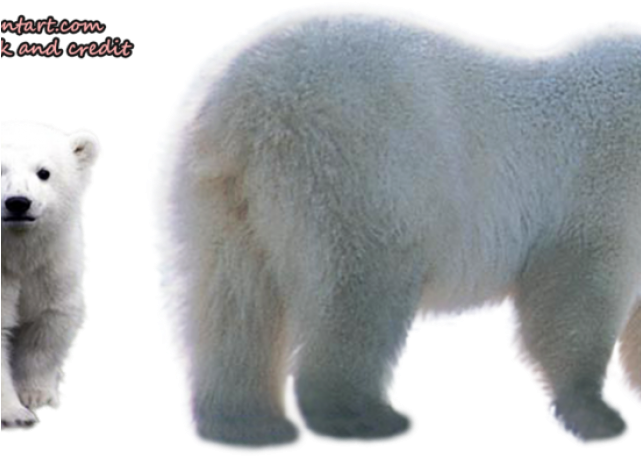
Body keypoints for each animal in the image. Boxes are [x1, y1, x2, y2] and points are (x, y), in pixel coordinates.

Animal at [1, 119, 102, 431]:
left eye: (44, 172)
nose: (18, 203)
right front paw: (15, 414)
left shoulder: (51, 265)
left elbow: (47, 321)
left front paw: (37, 395)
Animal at [148, 4, 641, 452]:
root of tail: (242, 106)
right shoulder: (606, 174)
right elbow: (577, 292)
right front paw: (600, 419)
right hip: (358, 170)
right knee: (360, 293)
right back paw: (370, 418)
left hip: (216, 196)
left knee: (232, 300)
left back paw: (249, 426)